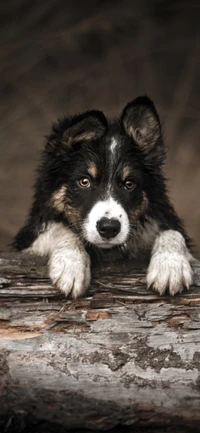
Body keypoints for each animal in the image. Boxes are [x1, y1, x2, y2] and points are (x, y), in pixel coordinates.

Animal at [12, 94, 194, 296]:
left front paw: (171, 266)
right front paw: (71, 265)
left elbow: (172, 232)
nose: (108, 228)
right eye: (84, 181)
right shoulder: (25, 240)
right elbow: (61, 229)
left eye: (129, 184)